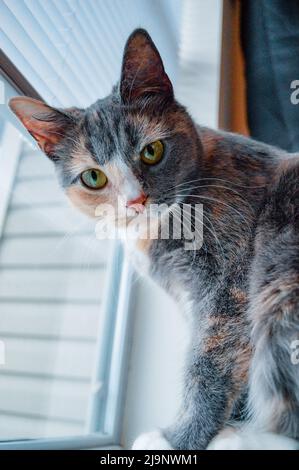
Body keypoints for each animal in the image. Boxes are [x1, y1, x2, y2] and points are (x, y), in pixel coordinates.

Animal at [8, 29, 299, 452]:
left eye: (152, 150)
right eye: (93, 177)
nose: (135, 200)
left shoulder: (228, 288)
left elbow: (208, 364)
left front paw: (179, 438)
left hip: (277, 280)